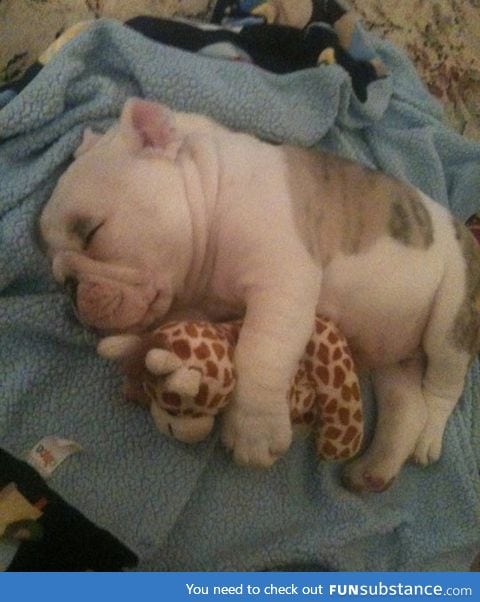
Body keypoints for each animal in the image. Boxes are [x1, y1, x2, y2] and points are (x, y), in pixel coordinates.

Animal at [39, 98, 478, 490]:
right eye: (58, 277)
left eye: (92, 233)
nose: (71, 288)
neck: (211, 195)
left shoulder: (282, 281)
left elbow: (259, 351)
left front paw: (253, 433)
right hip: (390, 357)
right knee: (405, 404)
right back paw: (375, 468)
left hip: (451, 319)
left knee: (443, 386)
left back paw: (428, 436)